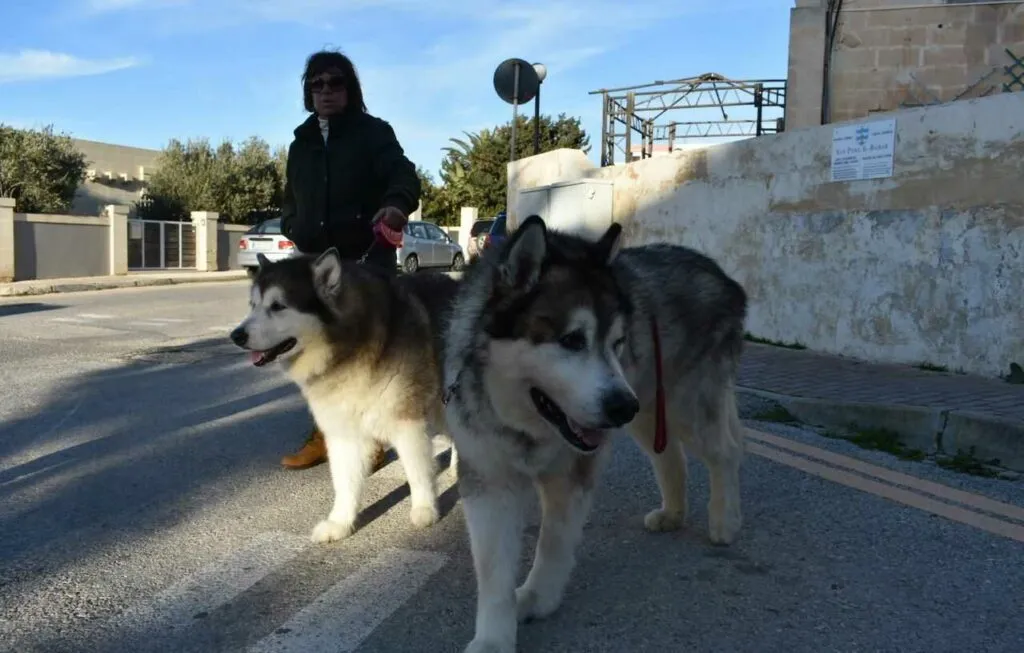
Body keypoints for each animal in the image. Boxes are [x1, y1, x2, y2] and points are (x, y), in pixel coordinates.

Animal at [234, 249, 458, 540]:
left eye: (278, 306)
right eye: (253, 305)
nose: (236, 335)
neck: (348, 350)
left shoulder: (405, 422)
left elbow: (417, 471)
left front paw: (424, 509)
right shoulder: (341, 431)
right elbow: (345, 482)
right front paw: (340, 522)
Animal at [444, 215, 749, 653]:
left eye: (618, 341)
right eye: (572, 340)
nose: (622, 406)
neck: (530, 426)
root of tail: (723, 276)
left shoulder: (573, 472)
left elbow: (553, 543)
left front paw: (537, 597)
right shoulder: (489, 479)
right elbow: (493, 570)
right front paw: (493, 640)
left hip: (680, 405)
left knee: (724, 451)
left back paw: (725, 521)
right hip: (648, 409)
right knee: (669, 454)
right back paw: (673, 514)